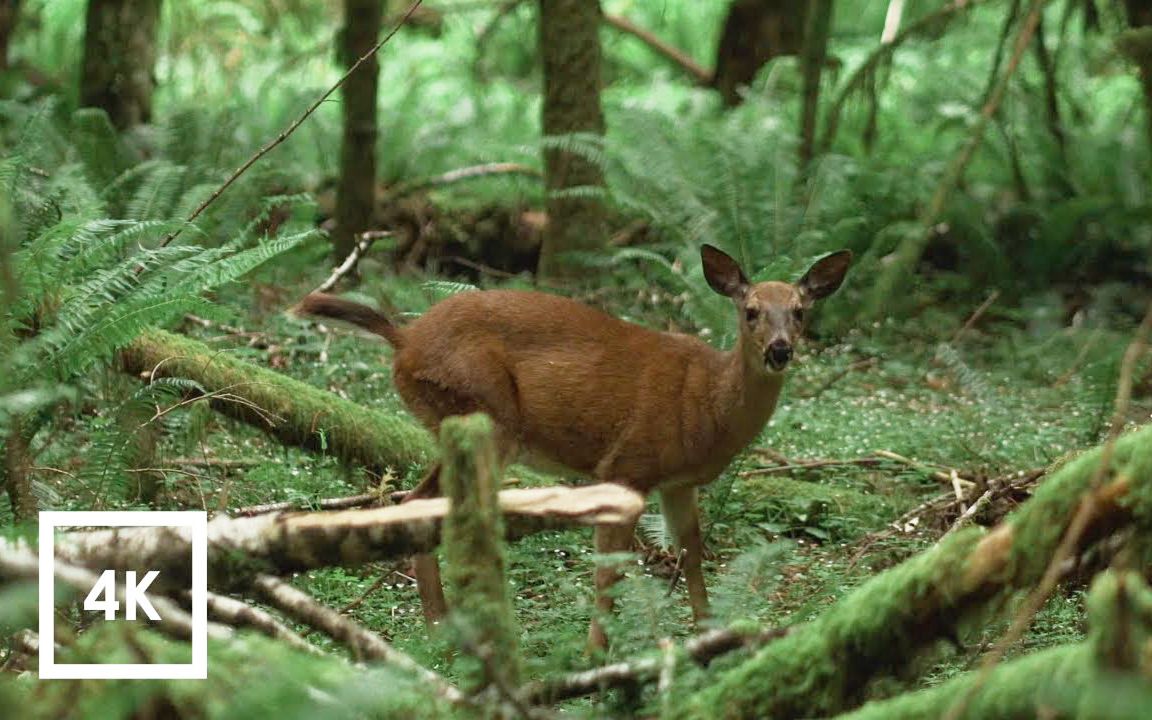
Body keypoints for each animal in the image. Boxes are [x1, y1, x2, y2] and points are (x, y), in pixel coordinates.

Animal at [294, 244, 857, 649]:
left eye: (801, 311)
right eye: (751, 311)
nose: (780, 350)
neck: (706, 404)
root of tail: (405, 338)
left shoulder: (678, 484)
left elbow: (693, 554)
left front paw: (711, 640)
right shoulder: (626, 465)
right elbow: (611, 571)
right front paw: (595, 658)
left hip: (458, 421)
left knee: (419, 501)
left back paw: (440, 632)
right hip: (486, 410)